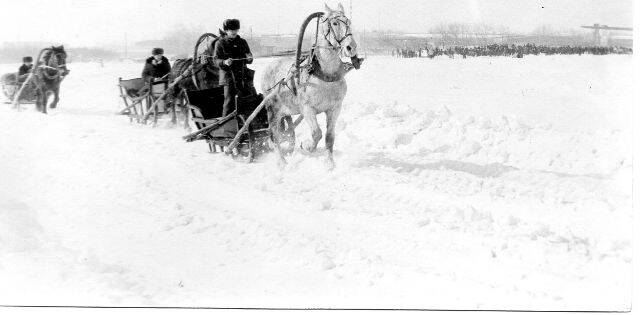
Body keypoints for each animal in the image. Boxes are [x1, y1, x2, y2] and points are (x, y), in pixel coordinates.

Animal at [260, 3, 360, 169]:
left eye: (349, 22)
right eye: (334, 23)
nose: (351, 47)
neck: (325, 76)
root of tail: (270, 65)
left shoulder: (334, 108)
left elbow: (329, 137)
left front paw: (330, 163)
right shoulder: (307, 108)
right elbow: (316, 133)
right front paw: (307, 146)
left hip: (285, 111)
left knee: (285, 131)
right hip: (272, 109)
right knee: (274, 134)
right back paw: (282, 162)